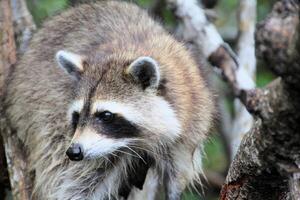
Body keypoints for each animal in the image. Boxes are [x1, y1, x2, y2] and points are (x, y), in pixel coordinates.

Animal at [4, 0, 214, 199]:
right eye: (76, 116)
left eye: (105, 115)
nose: (74, 152)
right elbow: (70, 185)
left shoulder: (190, 119)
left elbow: (177, 174)